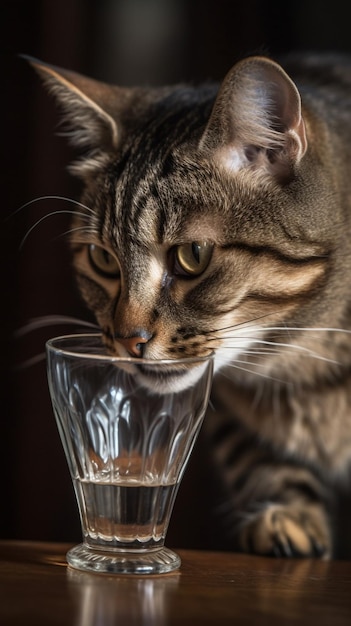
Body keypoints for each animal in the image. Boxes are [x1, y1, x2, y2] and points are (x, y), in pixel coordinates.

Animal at [27, 52, 351, 556]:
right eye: (103, 259)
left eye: (192, 255)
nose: (127, 340)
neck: (304, 367)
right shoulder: (235, 415)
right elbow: (259, 461)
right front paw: (288, 513)